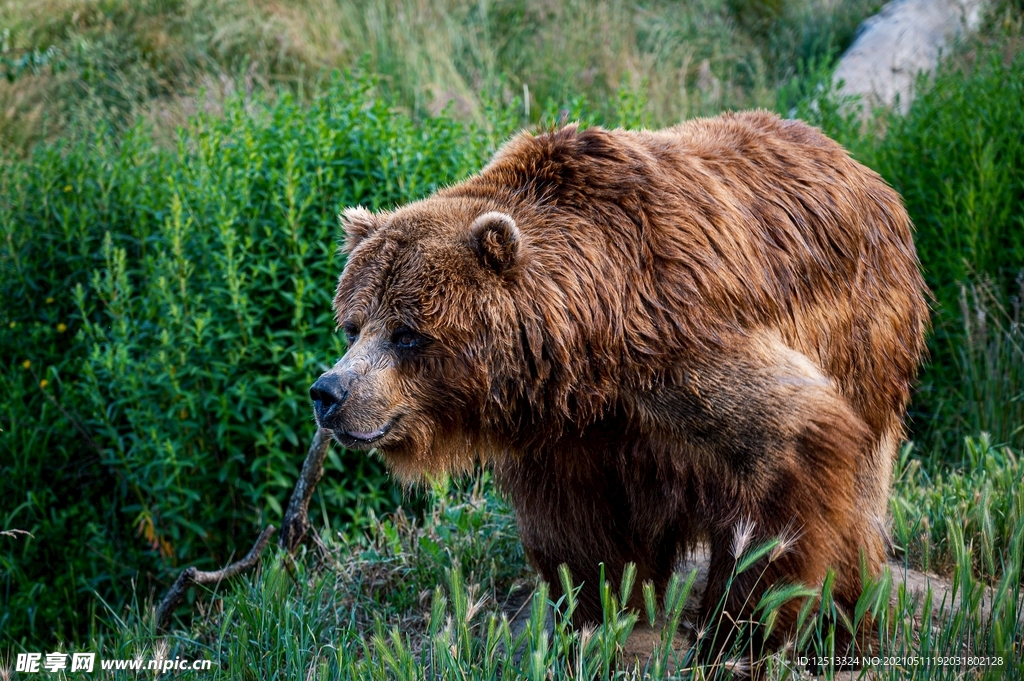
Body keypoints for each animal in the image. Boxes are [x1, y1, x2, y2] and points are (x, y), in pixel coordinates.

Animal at [309, 111, 929, 659]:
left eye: (408, 334)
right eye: (353, 325)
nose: (329, 392)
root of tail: (864, 170)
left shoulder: (678, 344)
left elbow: (787, 450)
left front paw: (733, 634)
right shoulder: (572, 439)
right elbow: (583, 545)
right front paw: (594, 625)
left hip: (866, 335)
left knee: (854, 505)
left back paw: (845, 625)